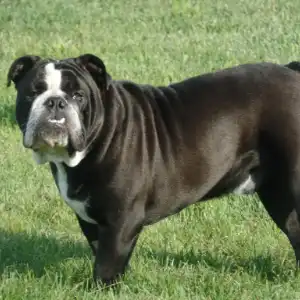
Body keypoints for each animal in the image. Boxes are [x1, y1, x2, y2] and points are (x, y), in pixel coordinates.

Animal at [6, 55, 300, 288]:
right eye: (32, 93)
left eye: (78, 96)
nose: (55, 103)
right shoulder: (90, 220)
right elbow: (105, 255)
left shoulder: (119, 220)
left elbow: (106, 265)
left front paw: (102, 290)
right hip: (279, 197)